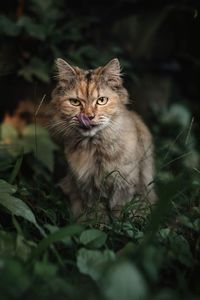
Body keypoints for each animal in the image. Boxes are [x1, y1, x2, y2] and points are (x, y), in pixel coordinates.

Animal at [49, 57, 155, 219]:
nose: (88, 116)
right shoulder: (89, 190)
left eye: (101, 100)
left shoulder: (124, 186)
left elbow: (119, 214)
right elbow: (97, 215)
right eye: (75, 102)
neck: (96, 149)